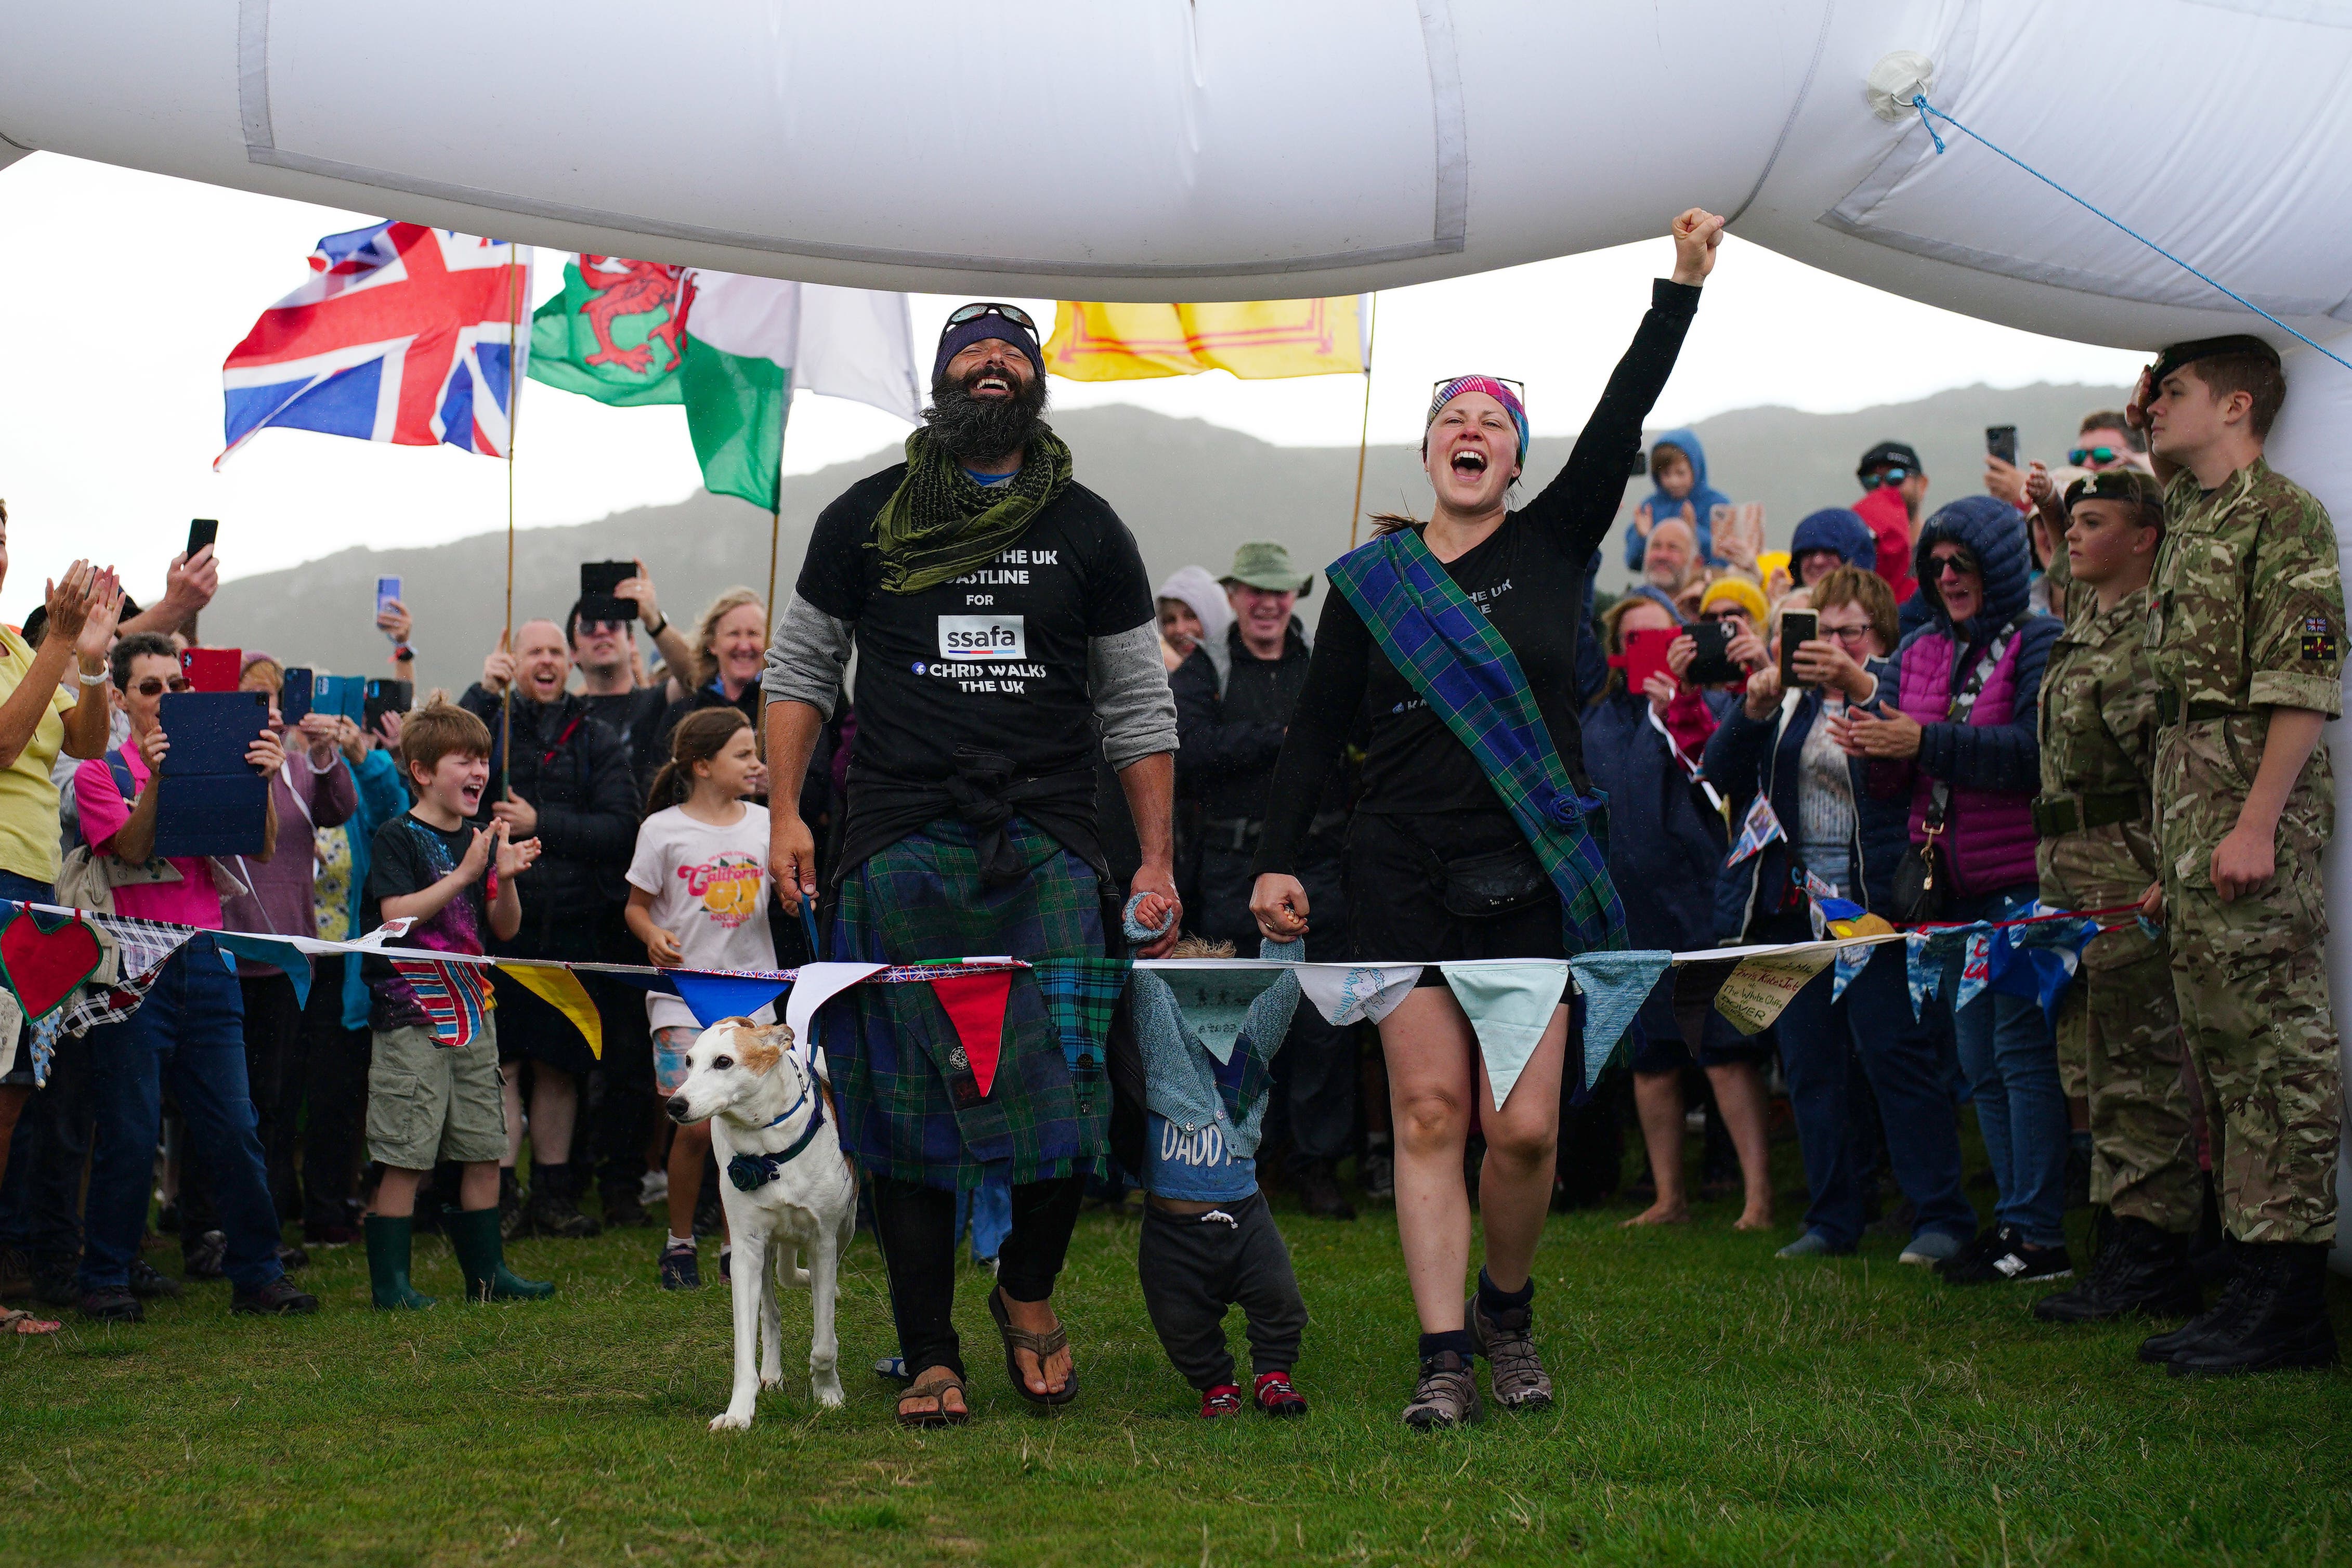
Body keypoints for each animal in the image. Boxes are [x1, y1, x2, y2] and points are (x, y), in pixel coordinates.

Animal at [663, 1020, 856, 1439]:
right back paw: (771, 1372)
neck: (769, 1147)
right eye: (688, 1061)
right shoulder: (746, 1250)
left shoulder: (824, 1242)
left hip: (847, 1228)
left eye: (724, 1061)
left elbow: (824, 1340)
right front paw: (738, 1413)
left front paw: (828, 1394)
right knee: (771, 1309)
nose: (675, 1105)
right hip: (763, 1250)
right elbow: (744, 1344)